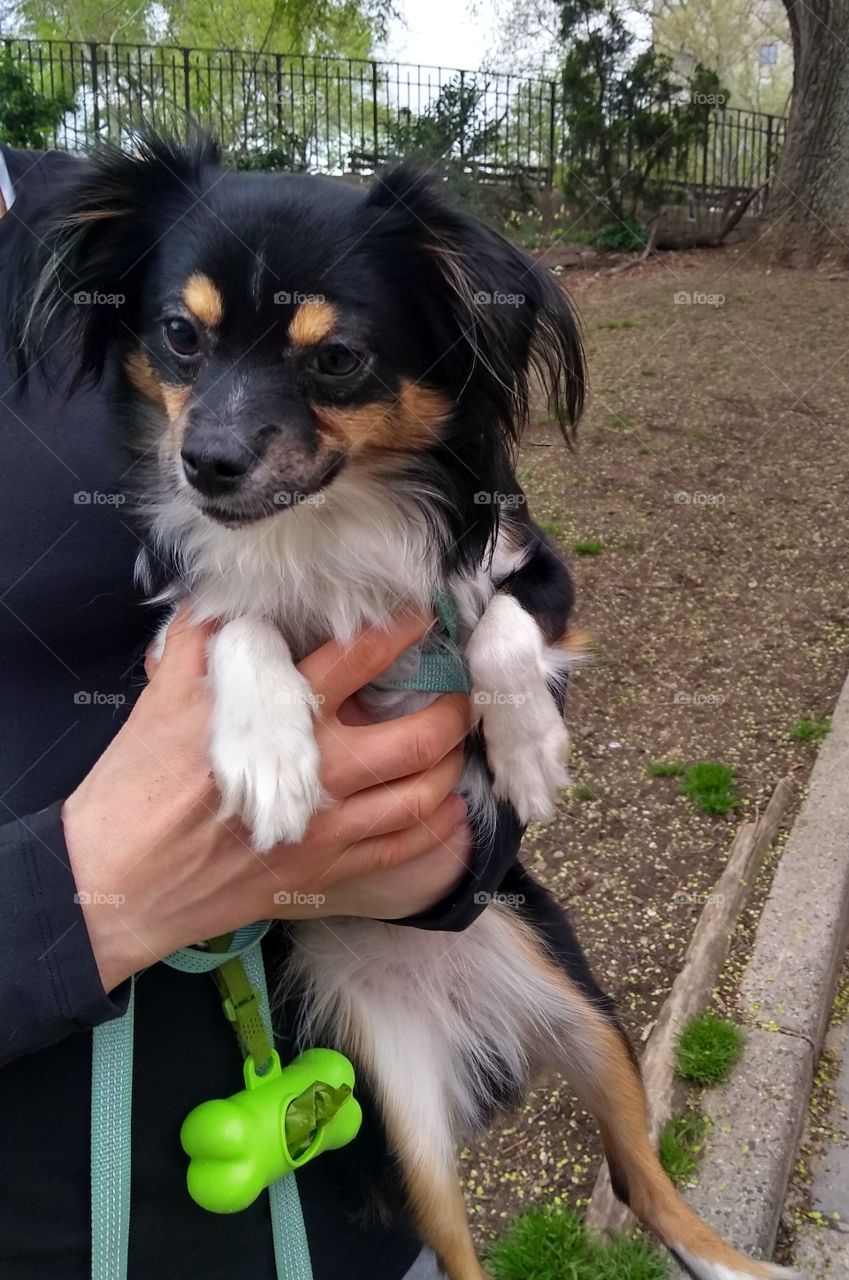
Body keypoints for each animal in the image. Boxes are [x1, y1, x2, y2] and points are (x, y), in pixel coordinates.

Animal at [11, 135, 799, 1274]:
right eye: (179, 336)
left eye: (336, 358)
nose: (206, 463)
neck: (327, 522)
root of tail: (454, 999)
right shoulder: (172, 628)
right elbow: (235, 618)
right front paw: (273, 756)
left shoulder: (531, 568)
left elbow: (499, 627)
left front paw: (526, 751)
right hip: (401, 1118)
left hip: (585, 1008)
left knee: (649, 1184)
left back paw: (740, 1261)